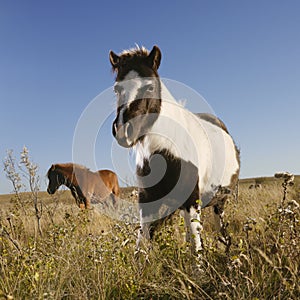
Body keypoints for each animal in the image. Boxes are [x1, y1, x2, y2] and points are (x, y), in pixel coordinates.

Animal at [109, 45, 240, 253]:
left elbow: (197, 248)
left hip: (219, 203)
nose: (124, 130)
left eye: (150, 86)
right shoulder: (147, 202)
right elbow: (141, 245)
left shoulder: (192, 202)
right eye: (117, 89)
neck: (165, 150)